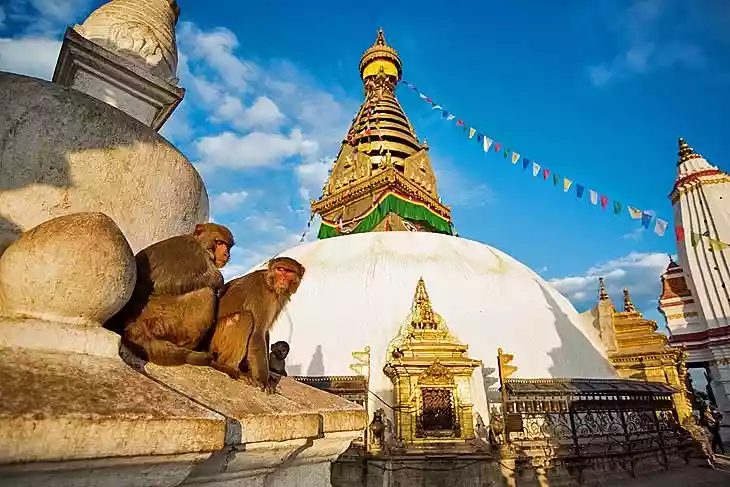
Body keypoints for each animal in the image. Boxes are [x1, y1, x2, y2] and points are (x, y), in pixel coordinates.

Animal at [106, 223, 234, 368]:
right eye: (219, 242)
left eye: (228, 245)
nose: (227, 254)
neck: (200, 244)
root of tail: (132, 323)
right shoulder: (194, 255)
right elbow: (167, 283)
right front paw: (218, 280)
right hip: (161, 323)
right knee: (206, 293)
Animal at [208, 257, 305, 392]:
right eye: (280, 269)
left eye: (289, 271)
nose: (283, 279)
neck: (270, 284)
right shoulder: (262, 294)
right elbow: (258, 333)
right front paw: (263, 382)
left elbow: (265, 331)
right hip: (216, 339)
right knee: (246, 318)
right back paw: (229, 367)